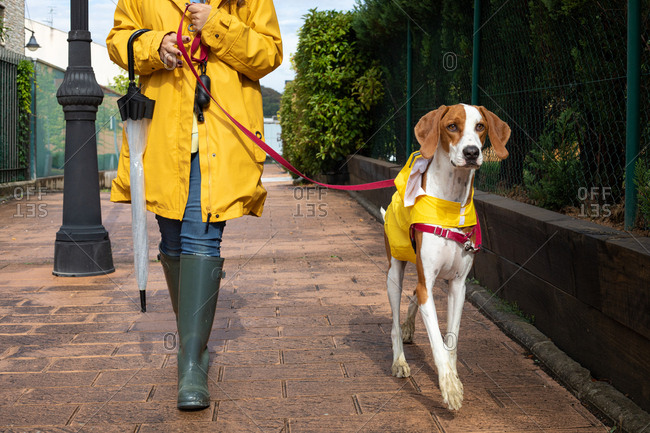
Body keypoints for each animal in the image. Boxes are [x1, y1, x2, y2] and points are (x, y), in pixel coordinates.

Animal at [380, 104, 512, 408]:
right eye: (452, 126)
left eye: (480, 126)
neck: (451, 205)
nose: (472, 152)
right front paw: (449, 387)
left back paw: (408, 327)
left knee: (414, 297)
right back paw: (399, 360)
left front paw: (453, 377)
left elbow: (450, 341)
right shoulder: (427, 282)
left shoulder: (457, 286)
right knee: (394, 323)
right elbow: (437, 343)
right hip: (394, 273)